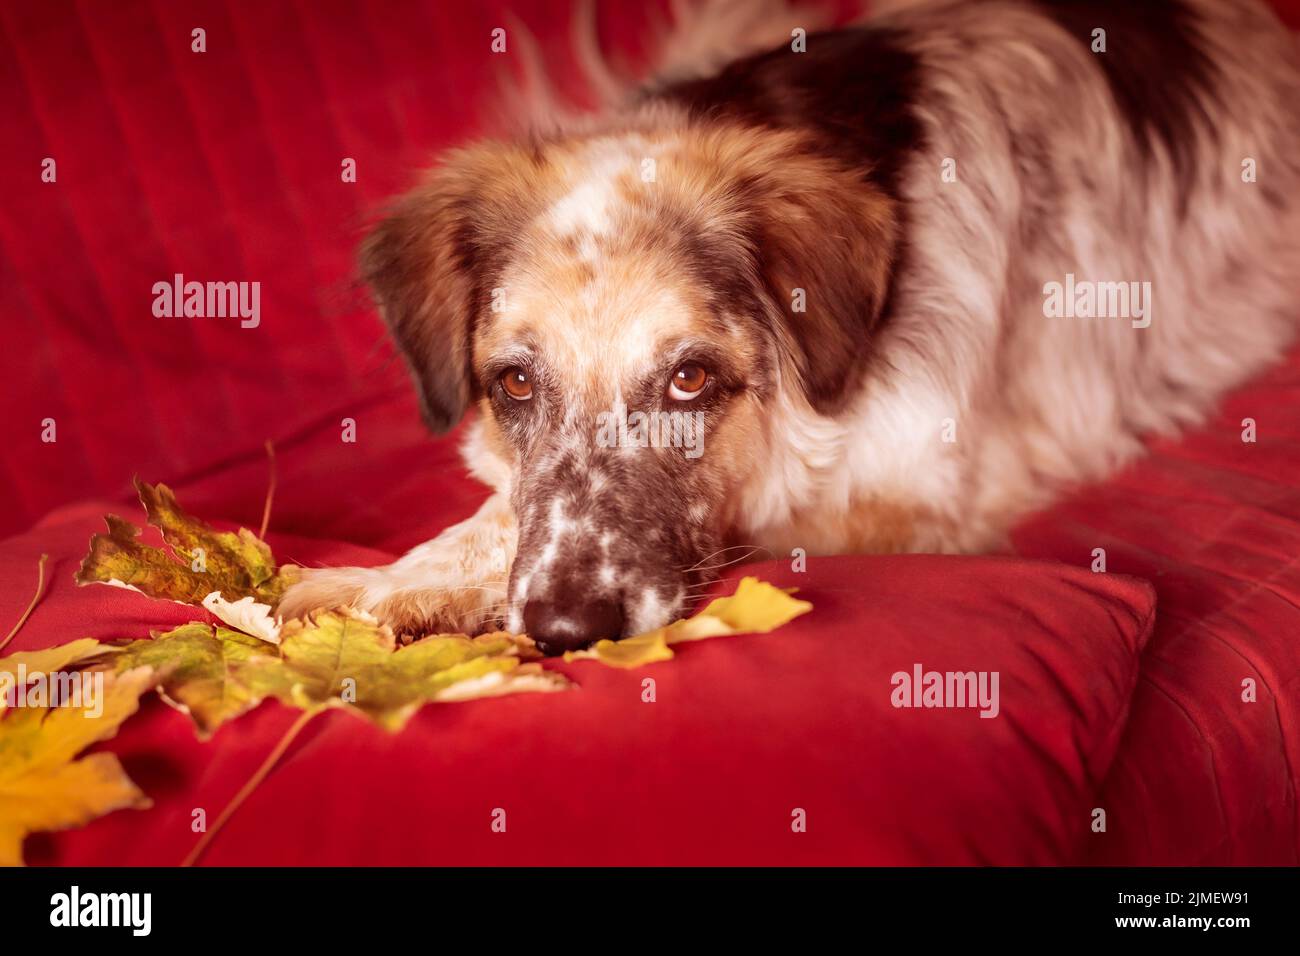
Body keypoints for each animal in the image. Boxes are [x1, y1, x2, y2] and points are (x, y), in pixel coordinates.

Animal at [276, 0, 1300, 655]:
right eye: (515, 383)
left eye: (691, 378)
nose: (569, 633)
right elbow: (503, 504)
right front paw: (396, 578)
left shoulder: (919, 493)